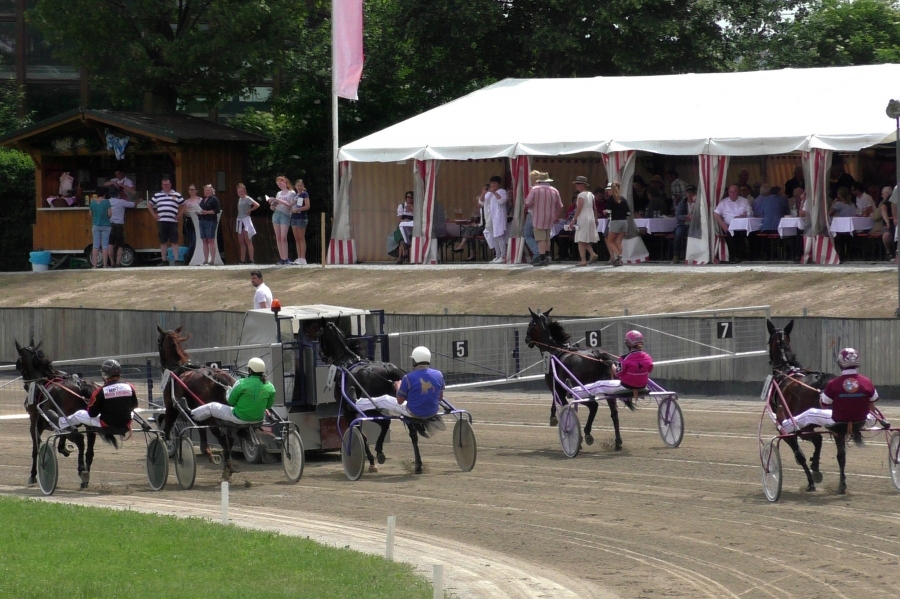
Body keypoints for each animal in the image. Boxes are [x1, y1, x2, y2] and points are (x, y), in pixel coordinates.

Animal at [14, 339, 116, 488]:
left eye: (18, 364)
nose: (26, 385)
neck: (43, 381)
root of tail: (80, 384)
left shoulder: (34, 421)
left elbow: (36, 448)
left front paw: (33, 475)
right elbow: (61, 440)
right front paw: (64, 449)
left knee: (80, 439)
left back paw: (82, 470)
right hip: (88, 424)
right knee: (89, 450)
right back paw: (85, 478)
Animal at [156, 325, 241, 480]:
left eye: (159, 341)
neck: (177, 368)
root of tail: (217, 375)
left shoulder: (171, 408)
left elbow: (167, 428)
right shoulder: (198, 414)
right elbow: (202, 434)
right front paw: (207, 451)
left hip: (212, 416)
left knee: (222, 438)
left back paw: (227, 466)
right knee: (230, 437)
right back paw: (227, 465)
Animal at [317, 321, 408, 472]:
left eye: (320, 336)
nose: (321, 354)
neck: (347, 362)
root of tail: (388, 369)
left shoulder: (348, 411)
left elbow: (360, 434)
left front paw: (369, 461)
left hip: (369, 408)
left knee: (385, 422)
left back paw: (379, 451)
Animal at [524, 308, 624, 449]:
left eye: (530, 325)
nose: (526, 339)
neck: (555, 351)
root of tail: (597, 355)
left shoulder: (559, 389)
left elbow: (564, 406)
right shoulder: (559, 388)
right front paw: (553, 418)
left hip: (582, 391)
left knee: (594, 406)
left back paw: (587, 433)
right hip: (607, 390)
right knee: (614, 413)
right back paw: (618, 442)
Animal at [766, 319, 838, 492]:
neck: (786, 370)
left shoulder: (788, 427)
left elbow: (799, 454)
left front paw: (811, 480)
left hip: (804, 425)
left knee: (818, 439)